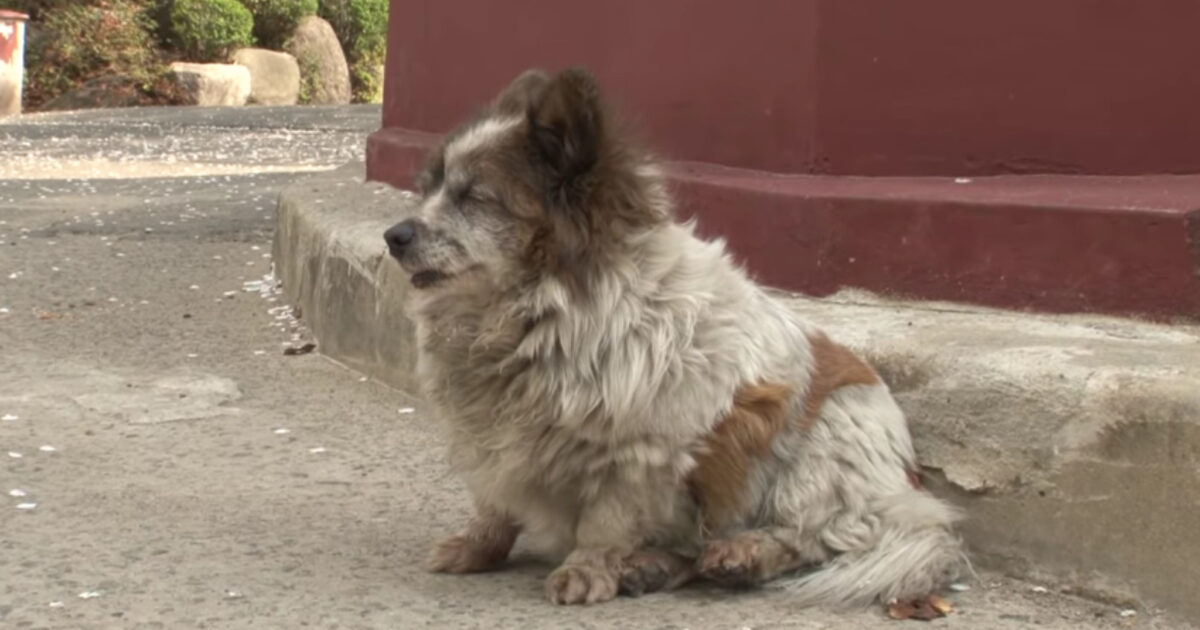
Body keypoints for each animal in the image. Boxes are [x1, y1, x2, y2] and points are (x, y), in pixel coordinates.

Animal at [384, 67, 964, 604]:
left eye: (474, 198)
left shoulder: (637, 453)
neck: (542, 312)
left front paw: (587, 569)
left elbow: (605, 522)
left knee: (813, 537)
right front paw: (478, 545)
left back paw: (745, 553)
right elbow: (492, 502)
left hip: (820, 454)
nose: (394, 236)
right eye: (430, 188)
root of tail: (905, 481)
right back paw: (657, 567)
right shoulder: (489, 434)